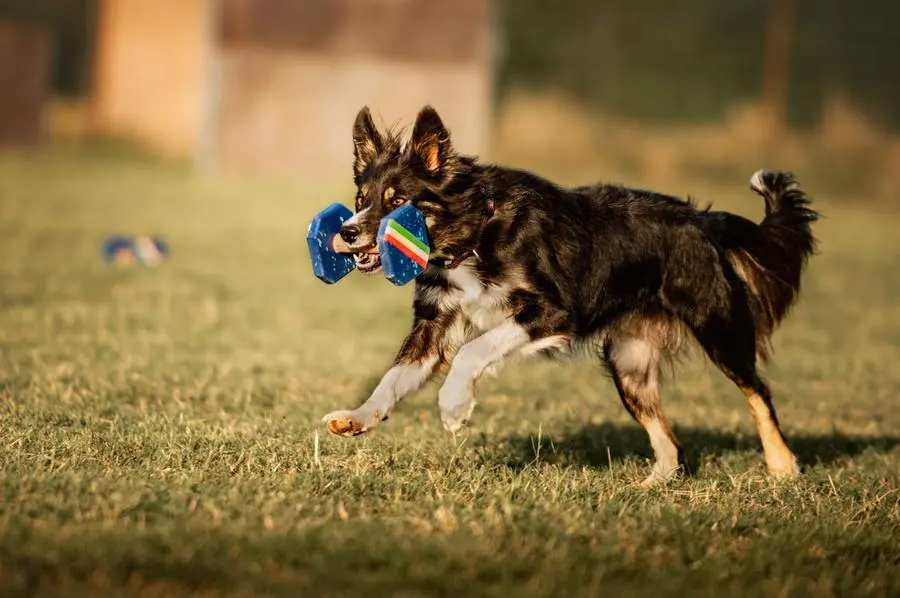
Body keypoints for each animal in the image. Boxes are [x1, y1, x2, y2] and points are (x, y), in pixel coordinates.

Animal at [322, 103, 816, 488]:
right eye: (361, 199)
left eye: (397, 201)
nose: (346, 232)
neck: (475, 232)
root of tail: (704, 220)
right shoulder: (434, 323)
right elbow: (394, 377)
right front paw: (359, 417)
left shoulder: (555, 311)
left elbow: (474, 350)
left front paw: (454, 405)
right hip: (629, 363)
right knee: (670, 440)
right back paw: (649, 486)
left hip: (719, 328)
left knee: (758, 392)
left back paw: (782, 466)